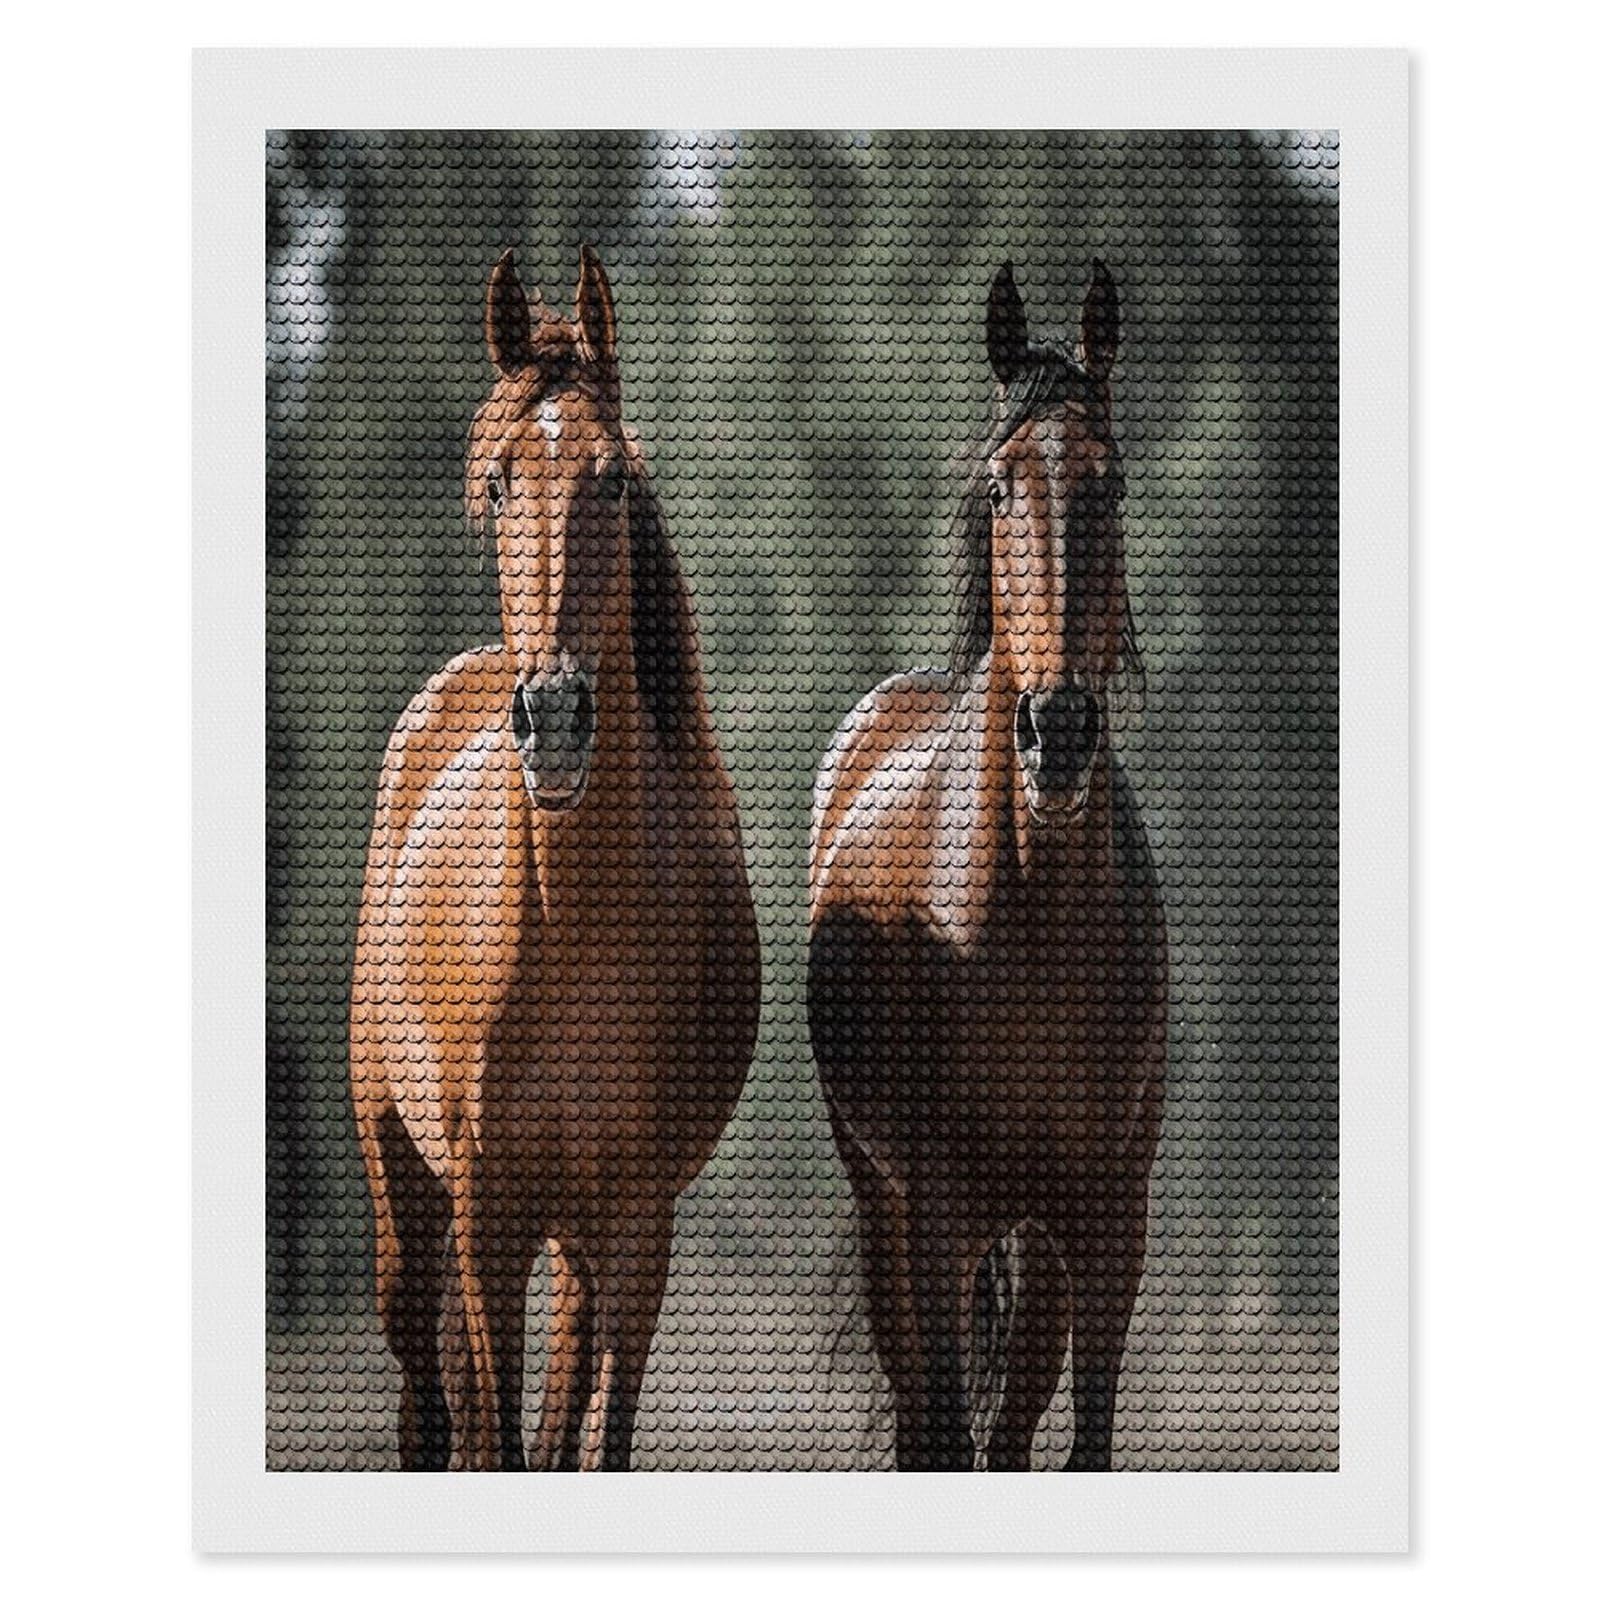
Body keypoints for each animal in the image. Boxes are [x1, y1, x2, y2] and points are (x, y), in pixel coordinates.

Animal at [350, 246, 761, 1471]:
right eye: (495, 482)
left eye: (613, 480)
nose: (556, 718)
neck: (575, 925)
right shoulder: (488, 1217)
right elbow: (491, 1435)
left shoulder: (631, 1231)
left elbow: (591, 1437)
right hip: (408, 1203)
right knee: (431, 1405)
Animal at [807, 262, 1167, 1471]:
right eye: (1002, 488)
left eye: (1111, 487)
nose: (1055, 730)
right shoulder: (936, 1217)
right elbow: (949, 1432)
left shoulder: (1103, 1223)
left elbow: (1083, 1437)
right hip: (886, 1211)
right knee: (931, 1422)